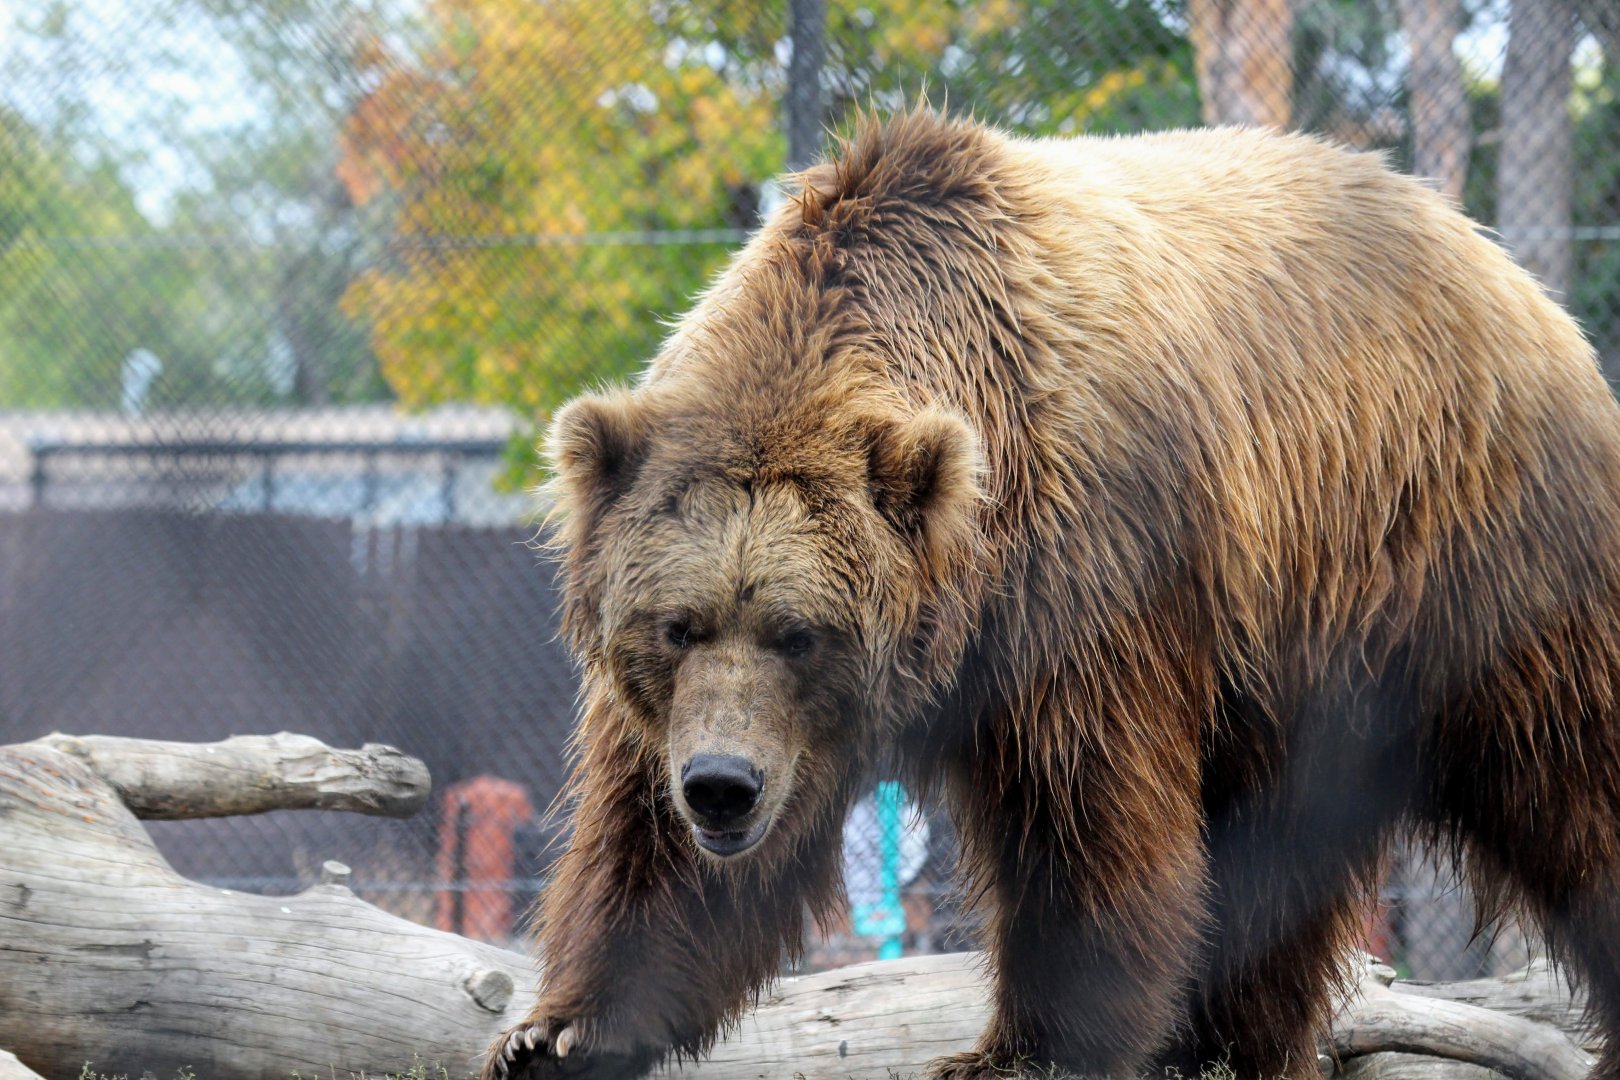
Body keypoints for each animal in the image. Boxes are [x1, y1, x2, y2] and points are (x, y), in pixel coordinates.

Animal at [485, 108, 1620, 1080]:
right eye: (677, 627)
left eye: (799, 634)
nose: (723, 786)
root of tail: (1497, 259)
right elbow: (645, 839)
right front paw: (559, 1031)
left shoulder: (1088, 570)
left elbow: (1084, 819)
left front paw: (1023, 1047)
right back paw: (1227, 1041)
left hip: (1463, 554)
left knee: (1568, 767)